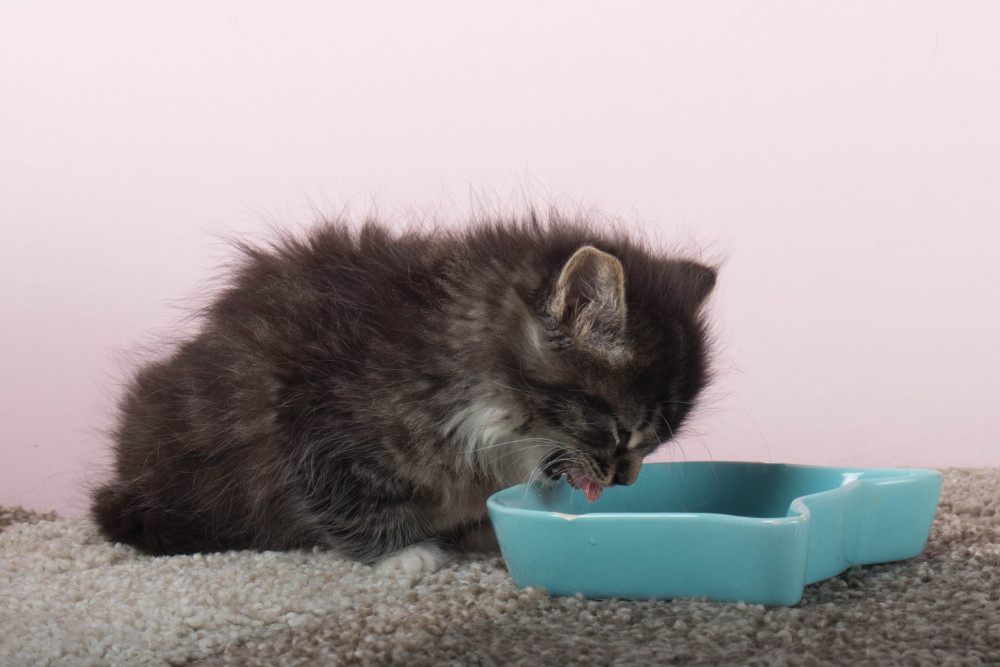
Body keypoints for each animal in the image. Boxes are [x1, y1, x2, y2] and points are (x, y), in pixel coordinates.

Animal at [90, 211, 716, 568]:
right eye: (620, 432)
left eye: (651, 445)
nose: (626, 478)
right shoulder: (317, 415)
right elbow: (343, 497)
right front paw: (404, 554)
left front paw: (480, 534)